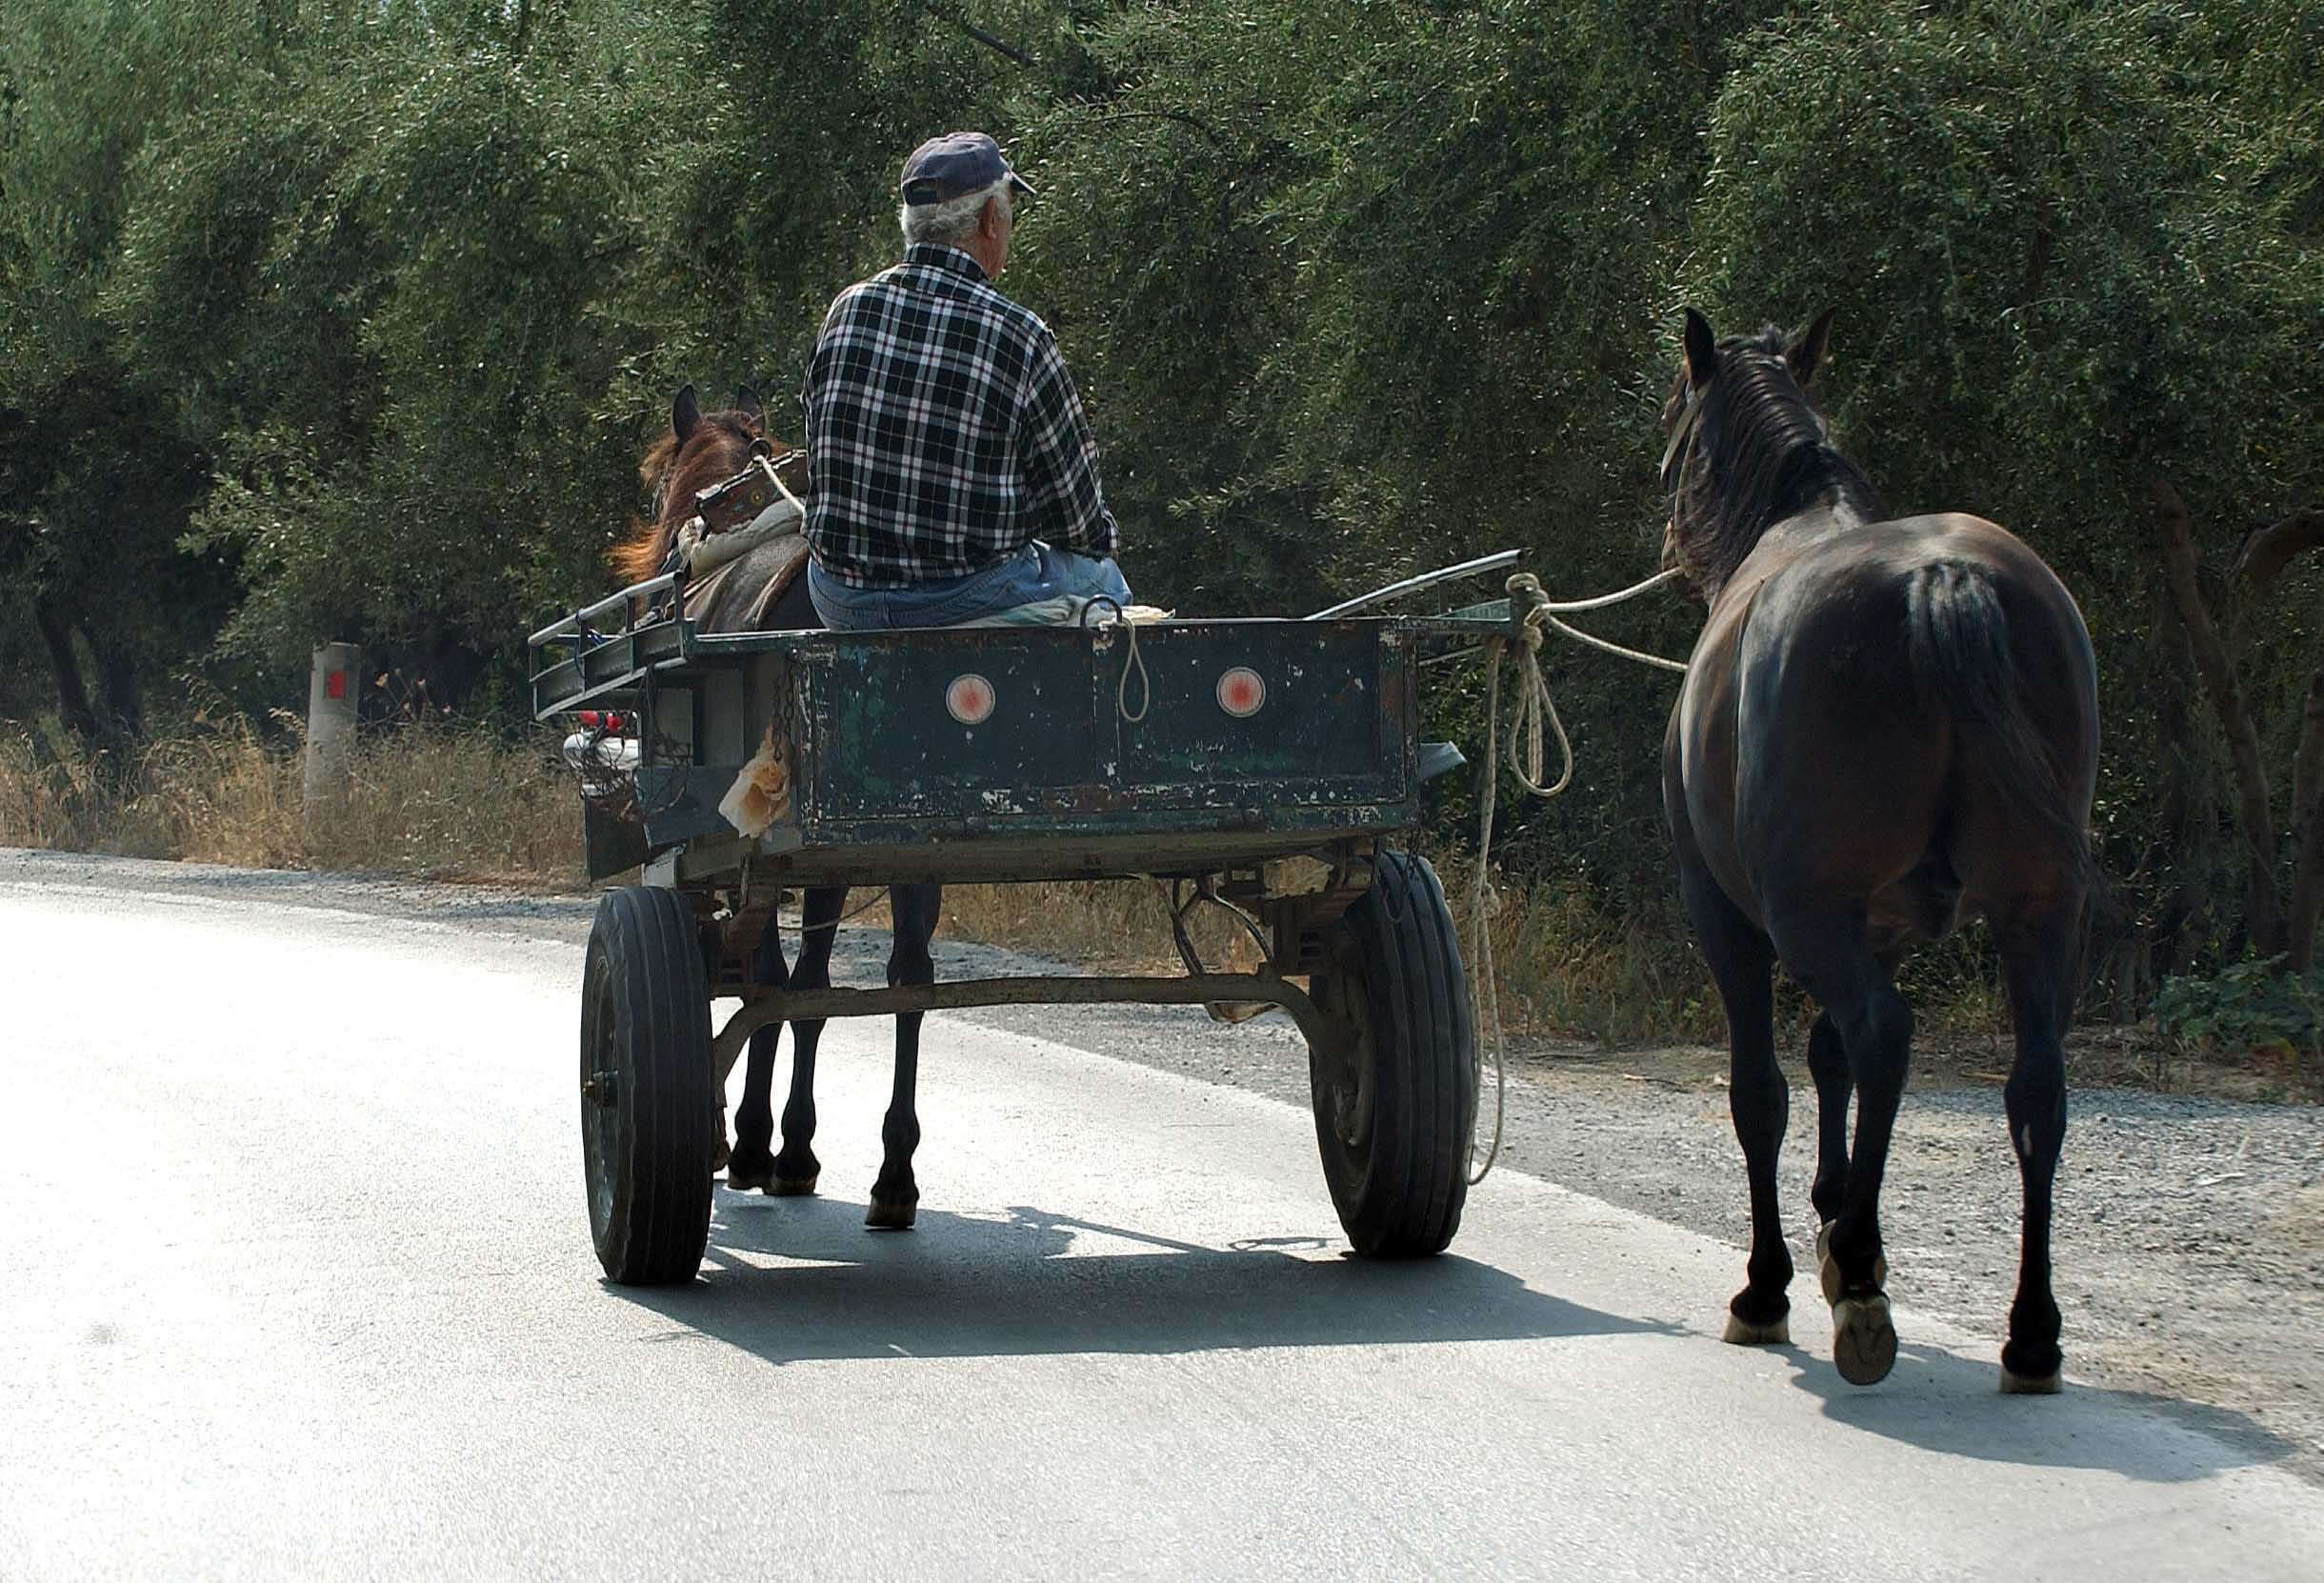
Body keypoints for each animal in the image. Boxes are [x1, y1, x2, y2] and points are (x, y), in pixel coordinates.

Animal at [622, 386, 948, 1236]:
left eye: (656, 486)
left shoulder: (743, 855)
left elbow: (760, 981)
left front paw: (748, 1140)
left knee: (800, 985)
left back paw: (789, 1149)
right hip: (913, 847)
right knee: (910, 983)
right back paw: (894, 1172)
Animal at [1664, 311, 2100, 1394]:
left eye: (1679, 420)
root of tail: (1944, 583)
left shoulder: (1733, 920)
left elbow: (1766, 1090)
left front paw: (1781, 1277)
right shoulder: (1886, 922)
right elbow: (1831, 1060)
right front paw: (1833, 1216)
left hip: (1801, 911)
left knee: (1882, 1034)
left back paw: (1858, 1285)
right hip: (2039, 911)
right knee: (2033, 1088)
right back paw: (2030, 1333)